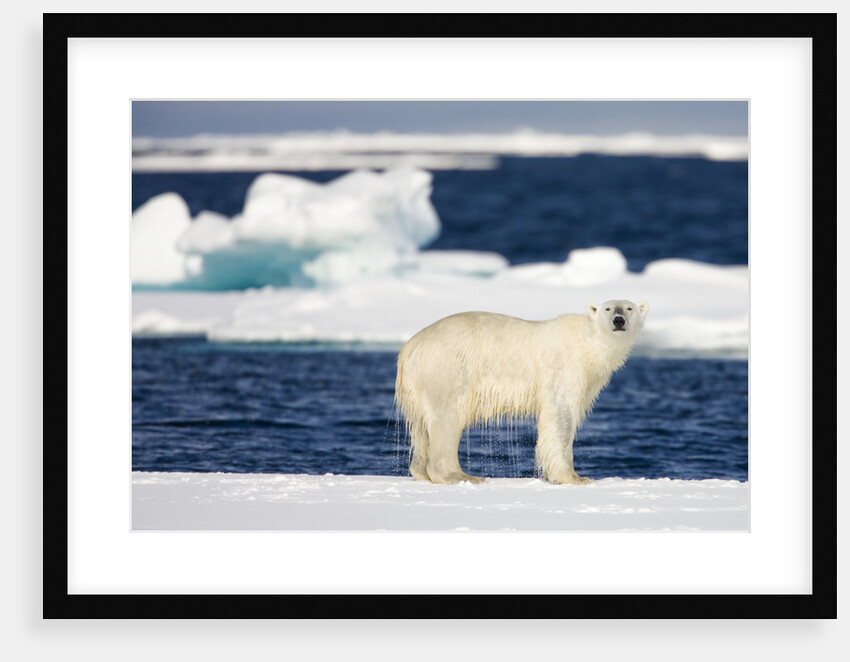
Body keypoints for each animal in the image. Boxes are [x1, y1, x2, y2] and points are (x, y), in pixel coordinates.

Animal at [394, 299, 649, 485]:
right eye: (608, 308)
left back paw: (421, 471)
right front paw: (575, 478)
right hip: (447, 368)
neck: (587, 343)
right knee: (447, 417)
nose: (619, 320)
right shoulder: (563, 368)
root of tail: (410, 347)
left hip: (418, 384)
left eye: (629, 308)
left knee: (421, 427)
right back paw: (461, 476)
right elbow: (561, 417)